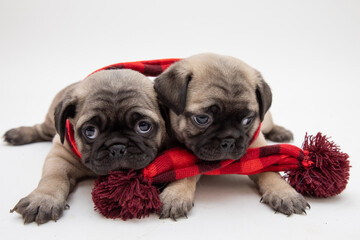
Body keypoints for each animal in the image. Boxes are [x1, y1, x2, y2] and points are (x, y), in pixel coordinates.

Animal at [4, 69, 167, 225]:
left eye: (143, 126)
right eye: (90, 131)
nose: (117, 147)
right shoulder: (60, 154)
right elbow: (53, 177)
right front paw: (43, 199)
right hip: (50, 124)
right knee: (40, 129)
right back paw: (17, 134)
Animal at [153, 53, 308, 220]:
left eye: (247, 120)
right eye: (202, 119)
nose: (229, 141)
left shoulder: (259, 151)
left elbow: (270, 170)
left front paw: (285, 193)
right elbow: (184, 173)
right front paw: (175, 194)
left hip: (266, 121)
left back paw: (280, 132)